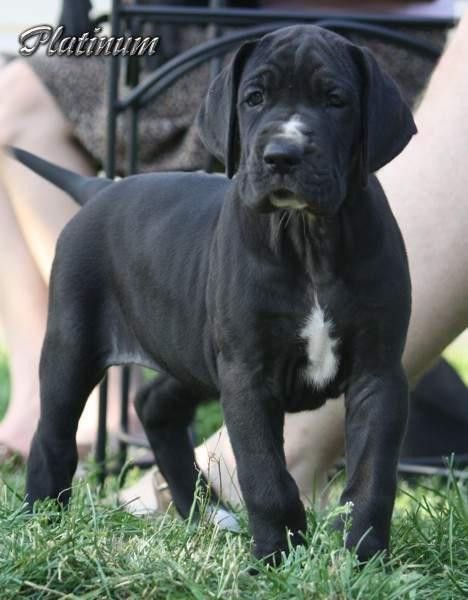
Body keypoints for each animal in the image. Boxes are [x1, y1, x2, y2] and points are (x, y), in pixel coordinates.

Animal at [14, 24, 416, 564]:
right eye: (254, 98)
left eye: (336, 100)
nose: (282, 155)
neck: (307, 238)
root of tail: (98, 188)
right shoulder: (247, 373)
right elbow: (266, 477)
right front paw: (276, 559)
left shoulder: (379, 373)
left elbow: (372, 476)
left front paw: (363, 559)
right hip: (73, 345)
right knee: (52, 436)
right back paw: (43, 523)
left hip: (192, 351)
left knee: (155, 405)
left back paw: (200, 511)